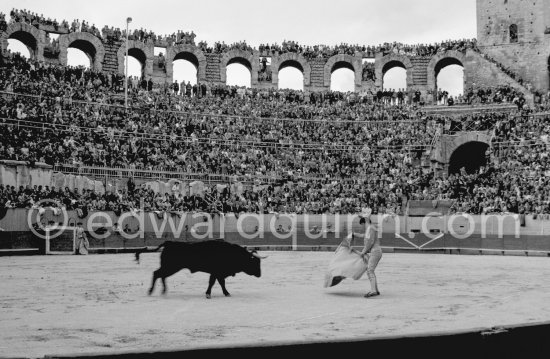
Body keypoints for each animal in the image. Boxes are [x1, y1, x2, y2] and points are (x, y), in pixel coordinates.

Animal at [136, 242, 270, 298]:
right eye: (255, 262)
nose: (260, 274)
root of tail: (168, 243)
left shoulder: (217, 273)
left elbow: (218, 283)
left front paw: (224, 293)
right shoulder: (217, 272)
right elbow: (215, 282)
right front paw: (210, 294)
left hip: (170, 267)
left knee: (161, 275)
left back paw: (163, 291)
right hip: (171, 267)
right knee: (157, 274)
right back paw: (151, 291)